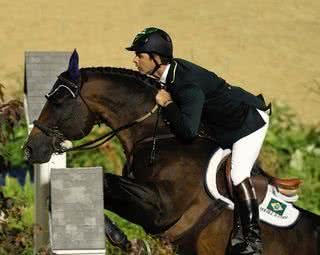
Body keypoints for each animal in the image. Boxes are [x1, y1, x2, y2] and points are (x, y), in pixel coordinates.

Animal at [23, 50, 318, 254]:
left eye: (59, 100)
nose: (30, 149)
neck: (161, 135)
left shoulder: (162, 208)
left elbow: (106, 182)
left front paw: (126, 240)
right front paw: (123, 240)